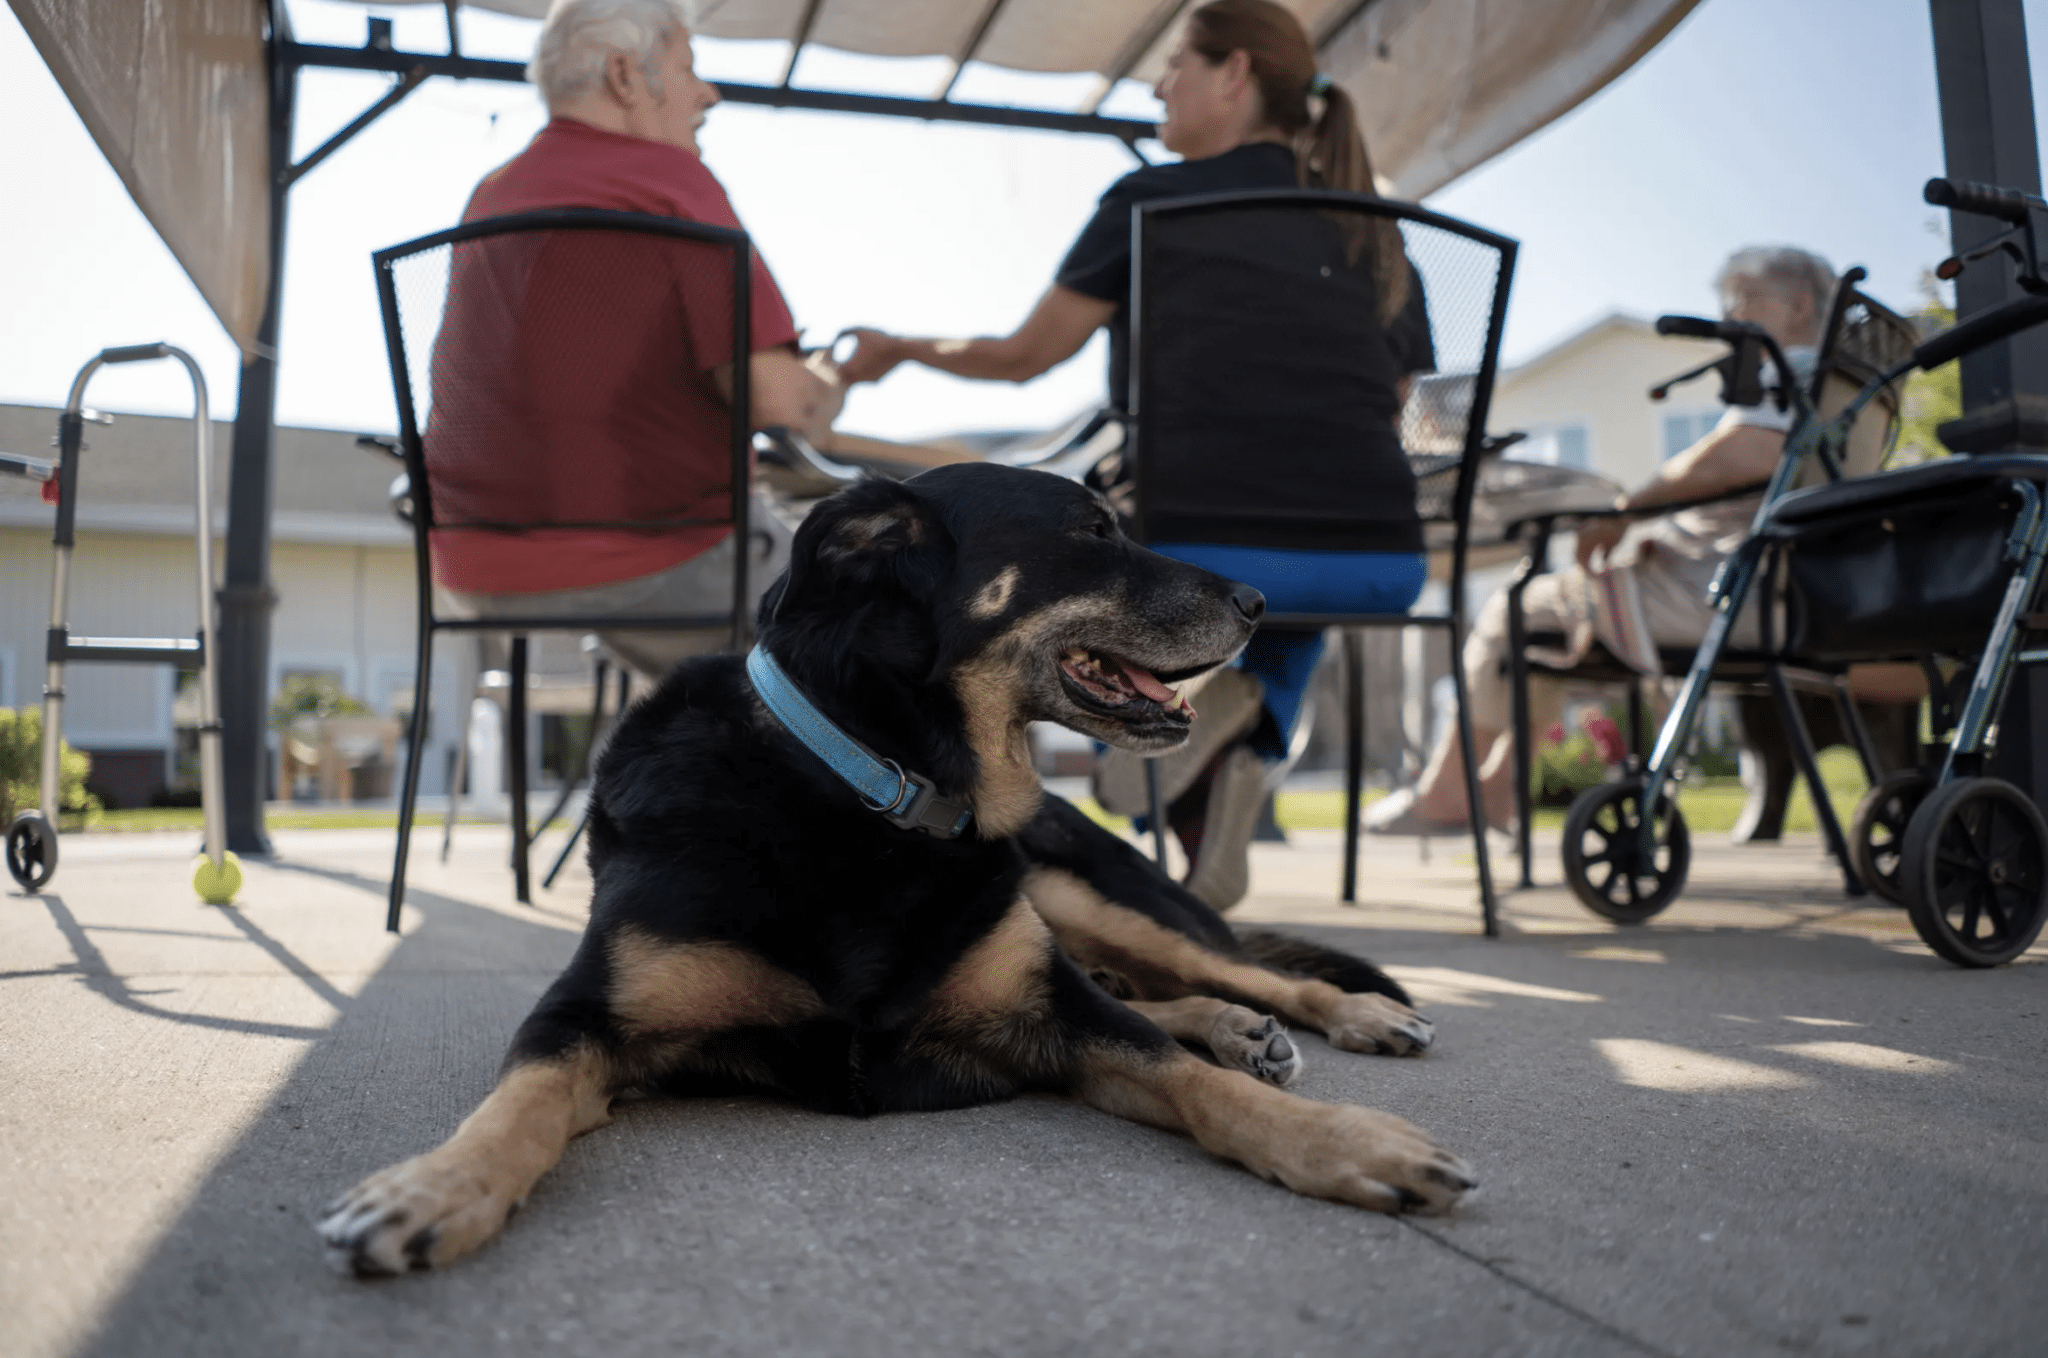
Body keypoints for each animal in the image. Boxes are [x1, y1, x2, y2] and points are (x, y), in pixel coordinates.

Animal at [319, 464, 1466, 1278]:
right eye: (1090, 531)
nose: (1262, 599)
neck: (875, 784)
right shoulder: (580, 1017)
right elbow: (516, 1105)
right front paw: (430, 1189)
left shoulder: (1056, 1011)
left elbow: (1186, 1079)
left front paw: (1349, 1142)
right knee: (1176, 988)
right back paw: (1236, 1027)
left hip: (1083, 892)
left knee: (1241, 970)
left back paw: (1340, 1015)